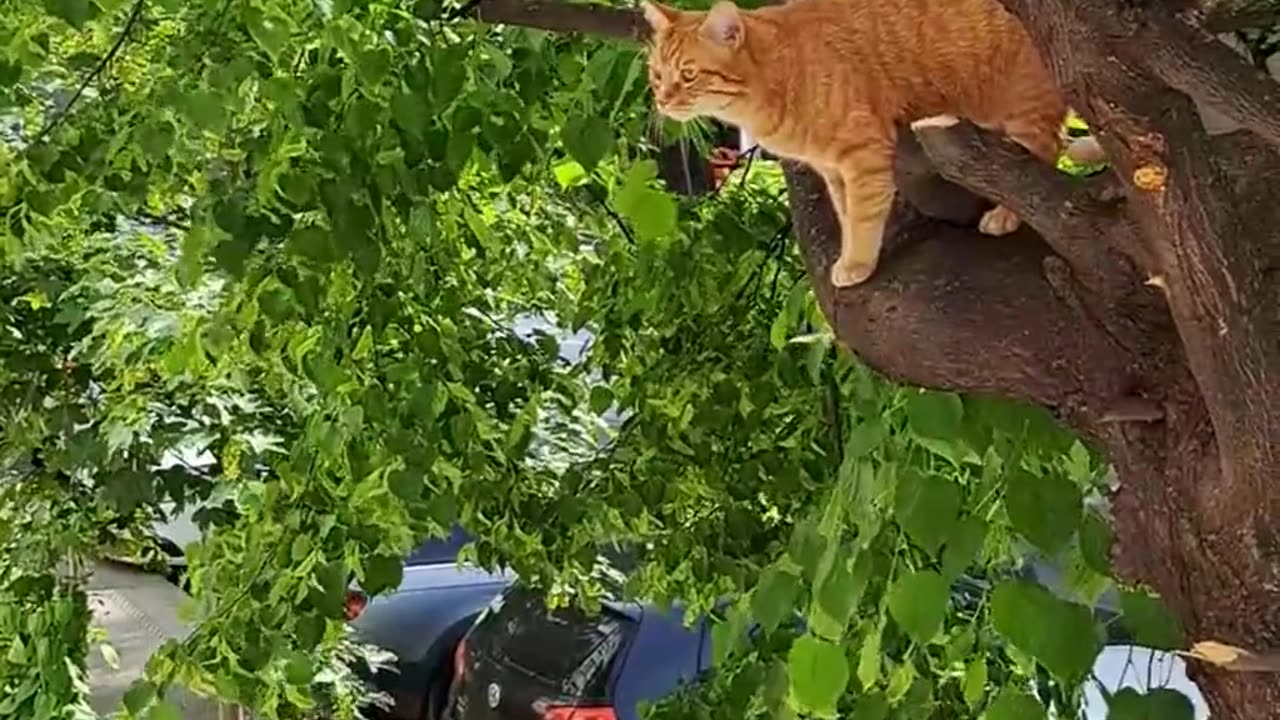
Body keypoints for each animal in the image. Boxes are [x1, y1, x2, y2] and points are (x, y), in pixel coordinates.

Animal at [640, 0, 1090, 285]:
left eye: (689, 75)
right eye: (657, 75)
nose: (662, 100)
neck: (779, 72)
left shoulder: (864, 154)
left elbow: (863, 215)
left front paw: (857, 263)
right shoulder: (833, 168)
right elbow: (846, 212)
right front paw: (851, 254)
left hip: (1022, 108)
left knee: (1042, 156)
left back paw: (1006, 214)